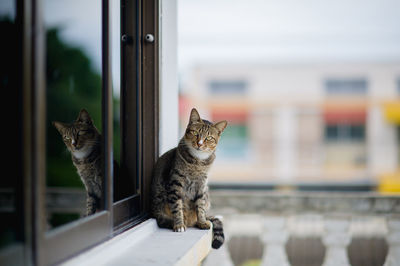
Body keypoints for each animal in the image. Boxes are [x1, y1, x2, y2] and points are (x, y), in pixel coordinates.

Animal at [151, 108, 227, 249]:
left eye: (209, 138)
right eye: (195, 133)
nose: (199, 144)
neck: (198, 162)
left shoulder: (202, 185)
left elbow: (200, 206)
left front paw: (202, 221)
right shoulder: (175, 183)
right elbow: (177, 206)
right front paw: (179, 224)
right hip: (160, 205)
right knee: (163, 219)